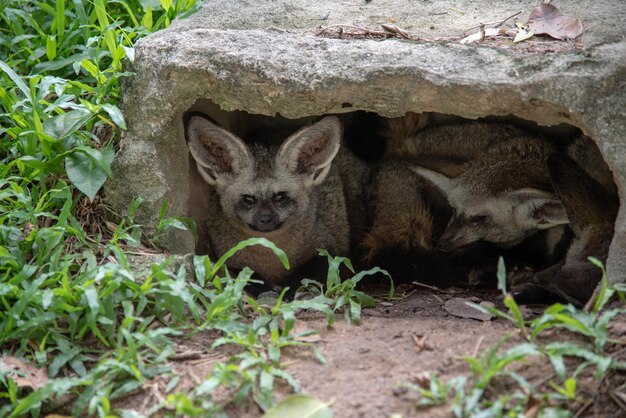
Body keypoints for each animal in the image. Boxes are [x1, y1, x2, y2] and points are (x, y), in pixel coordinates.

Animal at [185, 112, 616, 306]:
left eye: (280, 197)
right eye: (248, 200)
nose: (265, 221)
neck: (276, 256)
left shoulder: (335, 253)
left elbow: (312, 273)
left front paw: (285, 288)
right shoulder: (221, 256)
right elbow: (238, 272)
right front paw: (263, 286)